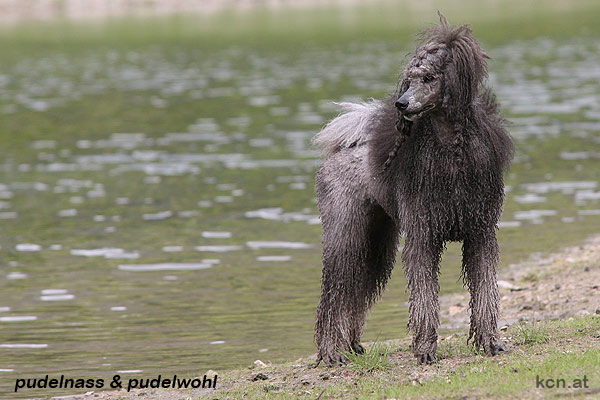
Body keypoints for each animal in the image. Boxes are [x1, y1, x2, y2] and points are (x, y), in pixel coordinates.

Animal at [313, 13, 514, 365]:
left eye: (430, 77)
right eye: (409, 78)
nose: (401, 104)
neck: (452, 154)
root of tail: (343, 147)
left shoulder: (481, 234)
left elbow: (485, 292)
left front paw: (489, 342)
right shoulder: (423, 236)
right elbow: (424, 297)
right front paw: (425, 349)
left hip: (377, 240)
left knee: (356, 290)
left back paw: (351, 346)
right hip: (346, 233)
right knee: (335, 295)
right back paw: (331, 352)